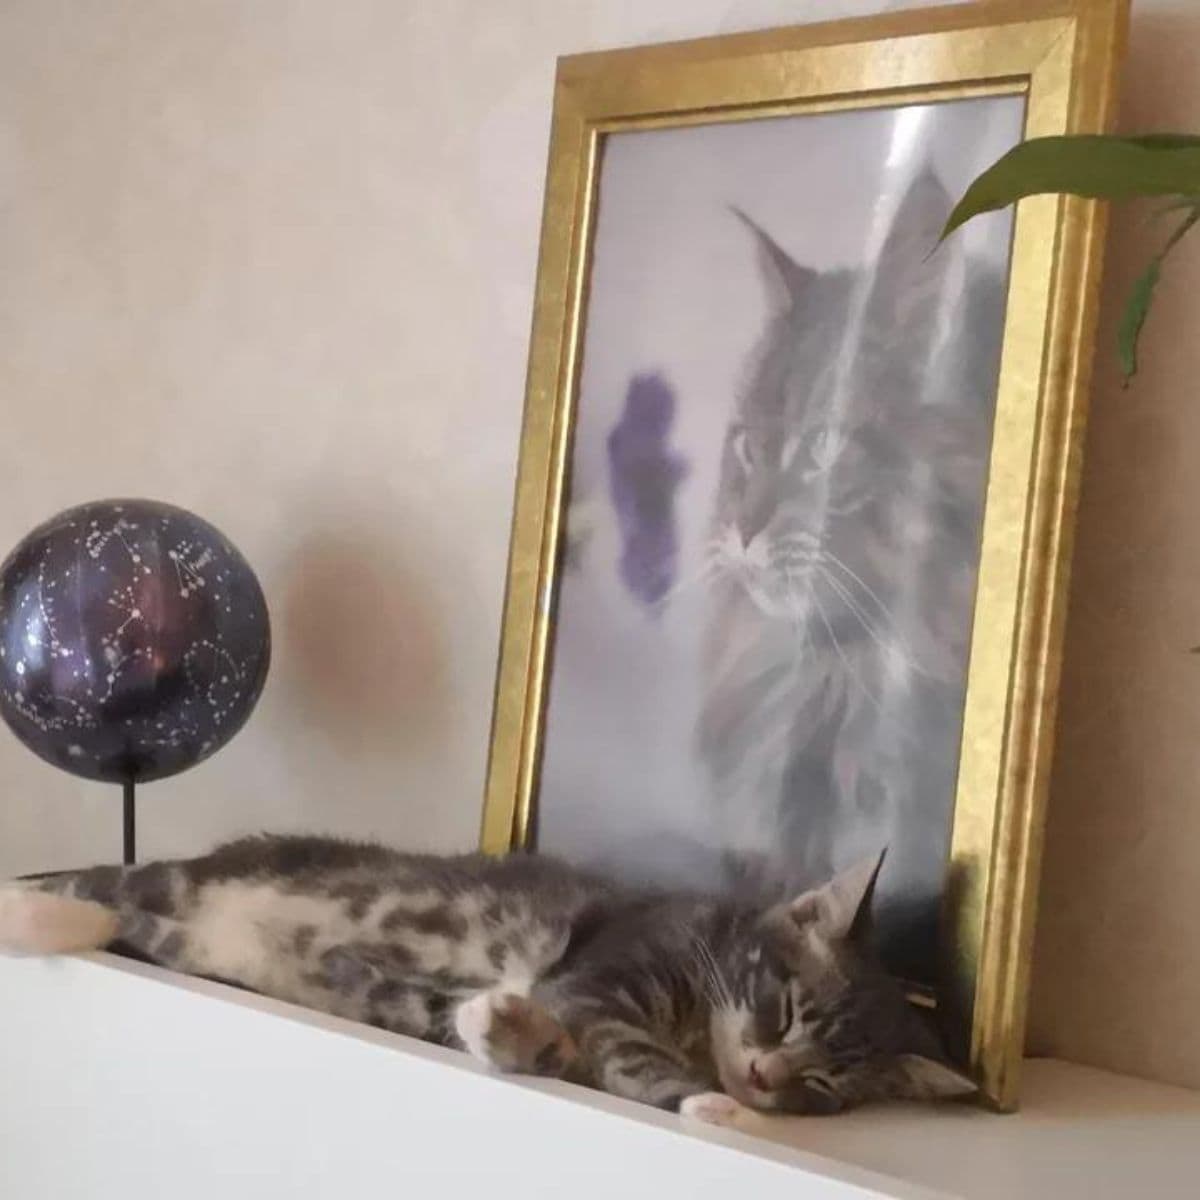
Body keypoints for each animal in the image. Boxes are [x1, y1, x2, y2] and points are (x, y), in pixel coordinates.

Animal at [0, 835, 969, 1123]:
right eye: (786, 1009)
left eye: (825, 1085)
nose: (765, 1076)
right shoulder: (606, 973)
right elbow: (631, 1052)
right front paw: (707, 1101)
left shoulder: (571, 1014)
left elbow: (562, 1049)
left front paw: (502, 1029)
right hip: (177, 881)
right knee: (101, 884)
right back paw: (30, 903)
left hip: (190, 942)